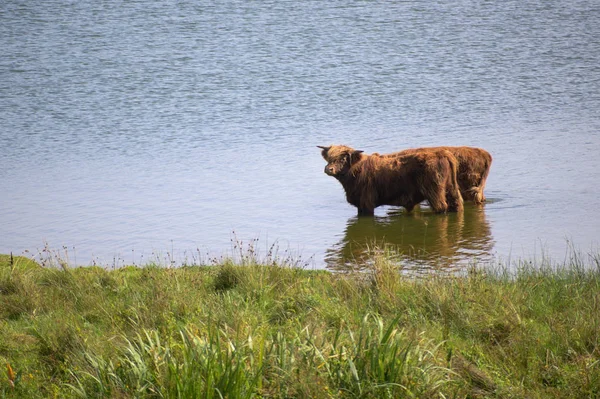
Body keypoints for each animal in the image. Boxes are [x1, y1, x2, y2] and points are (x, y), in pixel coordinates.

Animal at [318, 145, 464, 217]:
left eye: (343, 159)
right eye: (329, 158)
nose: (328, 169)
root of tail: (443, 153)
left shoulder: (366, 203)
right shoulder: (360, 204)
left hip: (434, 192)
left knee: (441, 207)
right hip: (451, 188)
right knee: (457, 204)